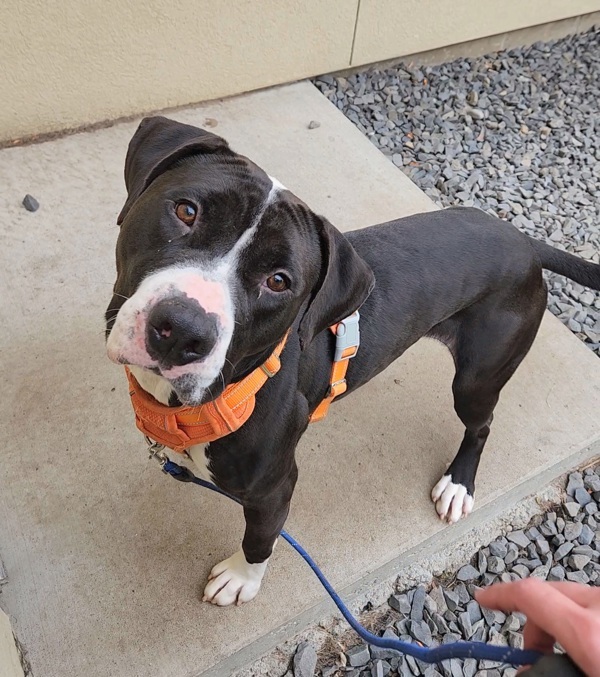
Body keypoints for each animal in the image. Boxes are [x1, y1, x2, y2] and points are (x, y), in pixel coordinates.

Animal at [106, 113, 600, 604]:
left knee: (481, 425)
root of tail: (523, 241)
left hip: (477, 378)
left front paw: (240, 578)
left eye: (279, 281)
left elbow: (259, 541)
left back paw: (459, 483)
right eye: (186, 211)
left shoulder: (274, 491)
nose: (183, 330)